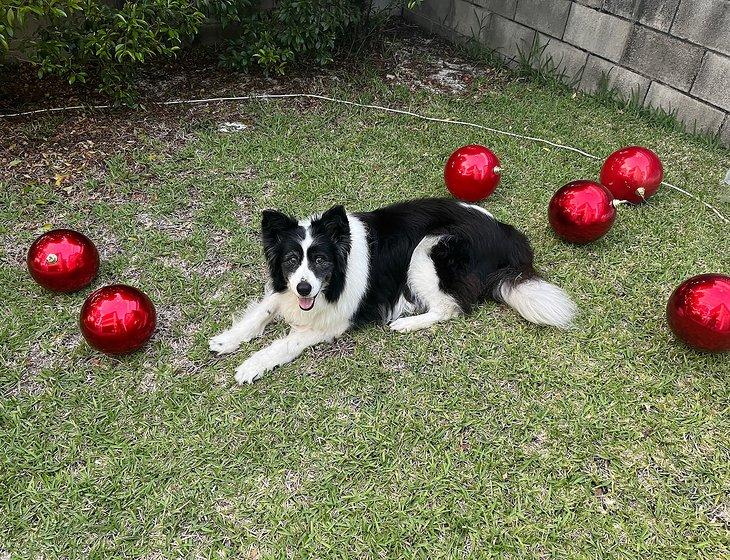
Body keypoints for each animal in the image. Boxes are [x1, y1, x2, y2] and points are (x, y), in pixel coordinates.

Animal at [209, 198, 576, 384]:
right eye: (290, 260)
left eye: (321, 260)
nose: (304, 287)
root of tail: (506, 234)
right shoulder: (285, 290)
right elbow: (262, 310)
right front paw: (228, 340)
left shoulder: (334, 321)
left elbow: (286, 343)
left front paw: (251, 365)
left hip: (429, 247)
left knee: (451, 307)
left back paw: (406, 323)